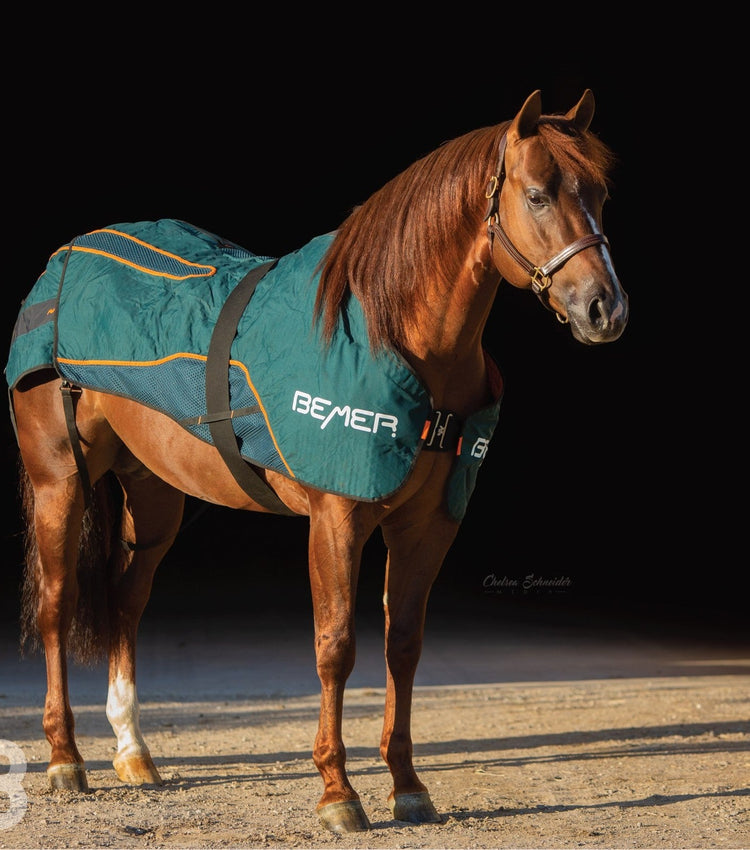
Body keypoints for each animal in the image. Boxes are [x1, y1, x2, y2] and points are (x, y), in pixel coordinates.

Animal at [6, 89, 628, 833]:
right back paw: (65, 759)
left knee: (127, 601)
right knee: (58, 604)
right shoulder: (337, 519)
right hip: (59, 481)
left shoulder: (427, 526)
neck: (397, 336)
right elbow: (335, 648)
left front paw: (408, 785)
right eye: (536, 195)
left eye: (601, 193)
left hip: (153, 498)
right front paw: (339, 793)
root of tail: (66, 257)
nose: (605, 309)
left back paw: (132, 751)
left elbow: (403, 646)